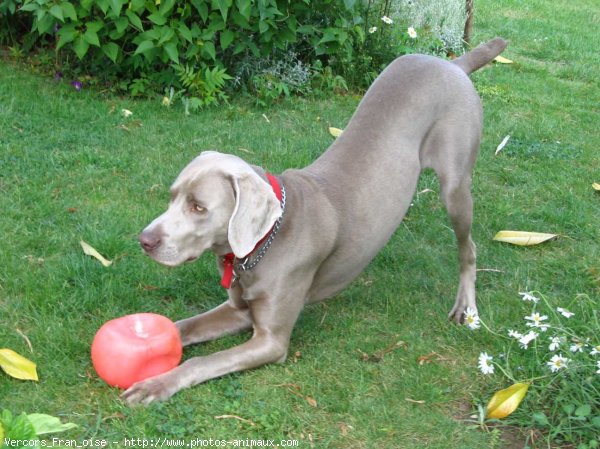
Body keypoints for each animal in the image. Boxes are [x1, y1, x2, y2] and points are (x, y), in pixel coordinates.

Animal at [124, 37, 508, 402]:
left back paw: (465, 306)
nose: (144, 240)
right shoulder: (237, 309)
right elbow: (183, 327)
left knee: (468, 247)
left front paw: (156, 385)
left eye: (198, 207)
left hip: (456, 184)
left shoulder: (271, 340)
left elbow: (203, 361)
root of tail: (452, 63)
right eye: (172, 197)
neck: (264, 243)